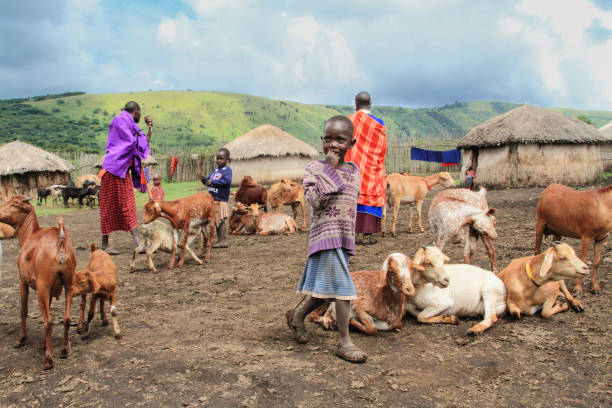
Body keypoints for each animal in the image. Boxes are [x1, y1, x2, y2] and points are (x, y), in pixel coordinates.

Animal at [0, 195, 77, 370]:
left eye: (13, 204)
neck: (30, 234)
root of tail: (60, 243)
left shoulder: (23, 280)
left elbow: (24, 310)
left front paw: (21, 339)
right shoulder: (50, 289)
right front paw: (42, 342)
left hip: (43, 285)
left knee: (48, 321)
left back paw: (48, 359)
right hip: (68, 283)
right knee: (66, 318)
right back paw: (64, 350)